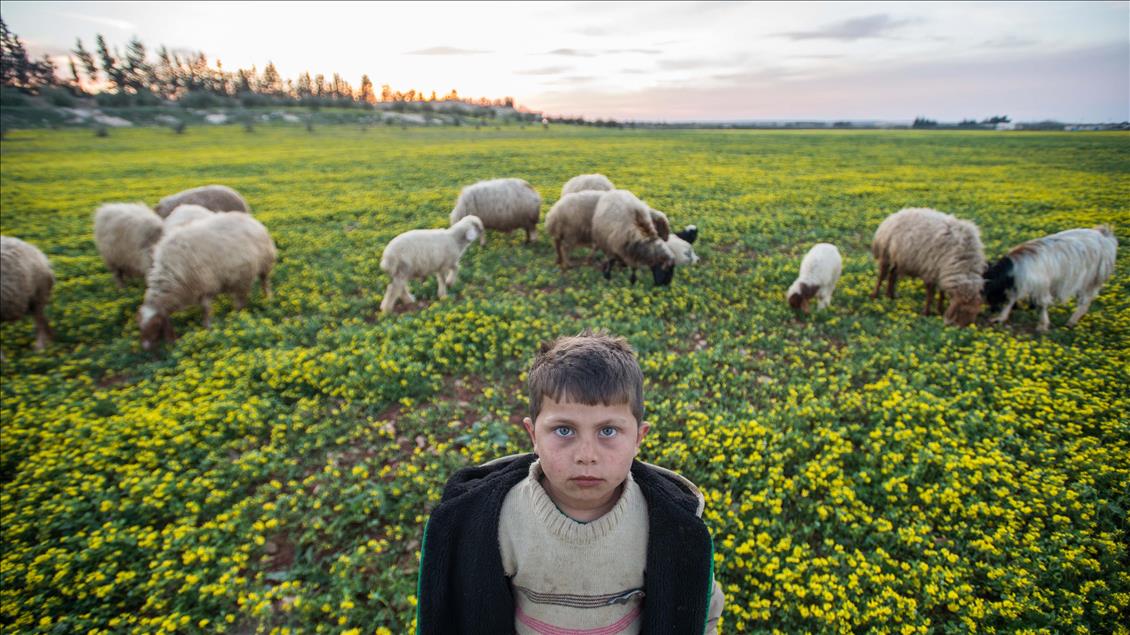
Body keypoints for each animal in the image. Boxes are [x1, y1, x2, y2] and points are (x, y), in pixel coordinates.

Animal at [137, 212, 276, 350]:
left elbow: (206, 309)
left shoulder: (205, 285)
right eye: (140, 326)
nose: (145, 347)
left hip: (262, 265)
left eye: (156, 324)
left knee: (262, 284)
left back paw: (263, 301)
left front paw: (207, 327)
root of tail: (251, 219)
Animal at [985, 223, 1116, 332]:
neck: (1014, 267)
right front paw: (1000, 317)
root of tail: (1105, 236)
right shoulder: (1020, 284)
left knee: (1085, 300)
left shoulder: (1040, 286)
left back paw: (1071, 322)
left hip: (1091, 279)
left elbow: (1042, 304)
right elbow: (1012, 299)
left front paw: (1042, 326)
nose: (991, 309)